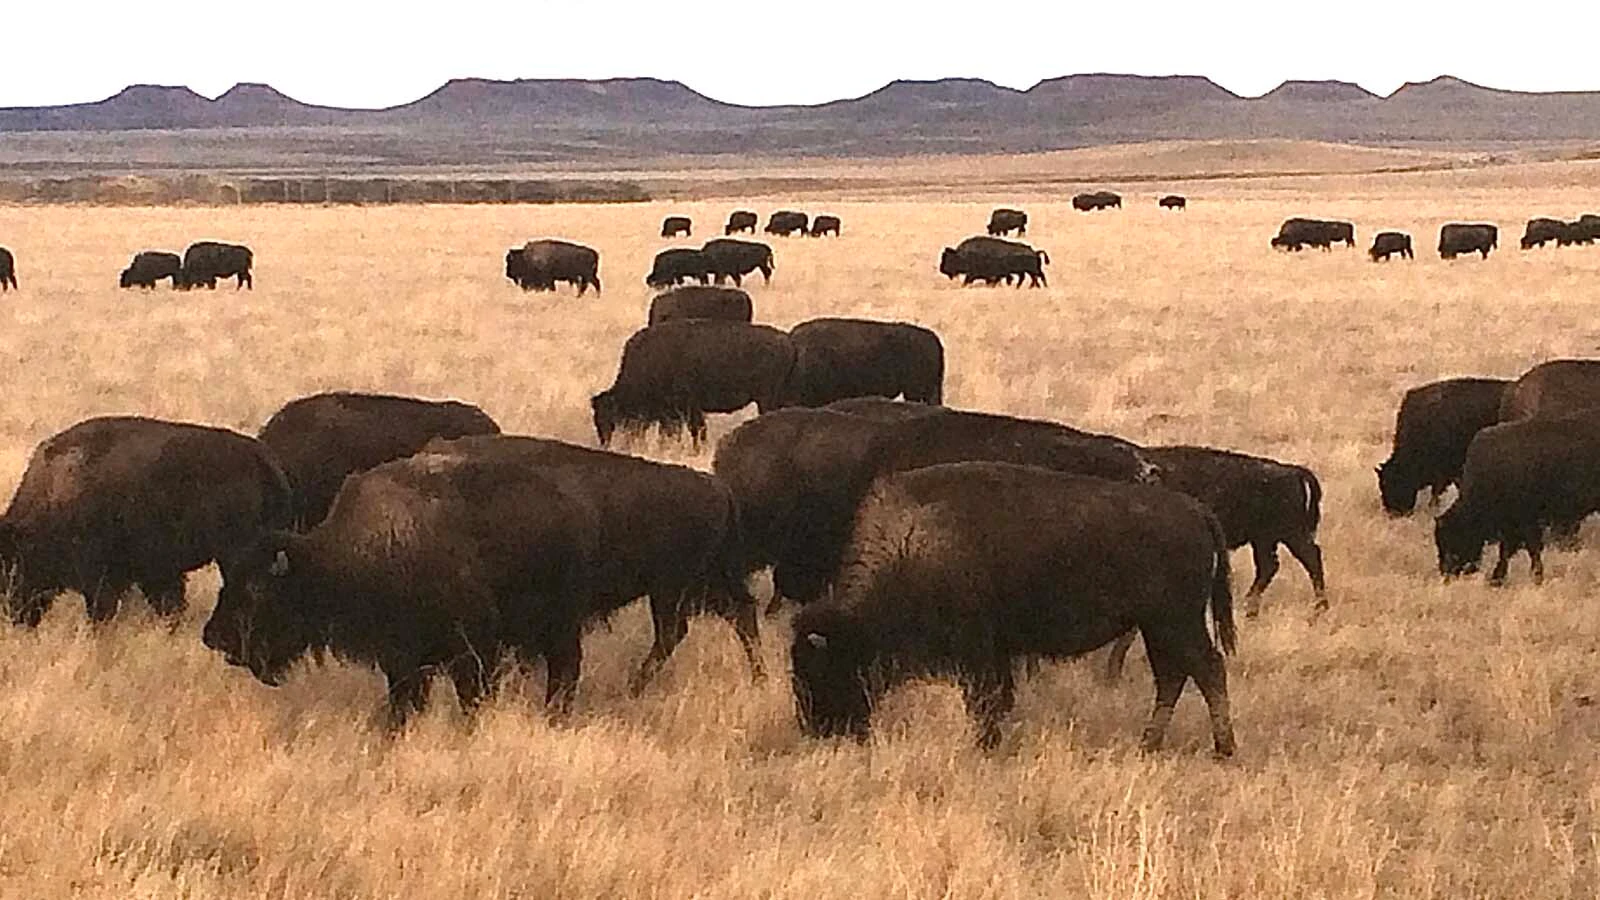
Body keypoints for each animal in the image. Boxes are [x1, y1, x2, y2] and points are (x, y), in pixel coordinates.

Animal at [0, 416, 293, 627]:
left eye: (10, 566)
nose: (13, 616)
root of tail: (261, 457)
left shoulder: (100, 579)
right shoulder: (156, 572)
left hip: (235, 553)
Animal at [204, 451, 595, 726]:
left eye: (256, 589)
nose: (213, 637)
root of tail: (565, 508)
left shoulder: (468, 653)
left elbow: (468, 696)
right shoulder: (402, 659)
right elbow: (403, 702)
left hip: (558, 627)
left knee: (565, 669)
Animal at [592, 320, 795, 447]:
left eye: (607, 418)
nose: (604, 442)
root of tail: (786, 342)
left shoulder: (686, 409)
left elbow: (692, 431)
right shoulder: (675, 413)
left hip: (766, 399)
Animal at [791, 462, 1236, 755]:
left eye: (824, 669)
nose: (820, 730)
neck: (912, 545)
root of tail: (1196, 510)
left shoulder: (978, 651)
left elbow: (985, 699)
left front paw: (984, 745)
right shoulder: (996, 652)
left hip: (1175, 621)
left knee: (1207, 669)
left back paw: (1223, 748)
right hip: (1158, 626)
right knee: (1173, 676)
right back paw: (1149, 744)